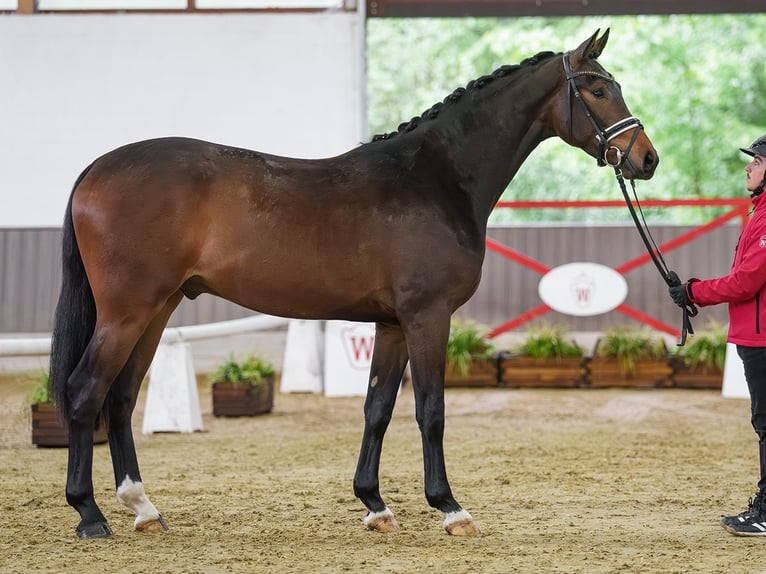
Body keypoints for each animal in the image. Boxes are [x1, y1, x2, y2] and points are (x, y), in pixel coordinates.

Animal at [50, 29, 657, 539]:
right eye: (598, 89)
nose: (645, 158)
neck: (435, 178)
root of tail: (95, 170)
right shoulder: (428, 317)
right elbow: (431, 409)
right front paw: (449, 508)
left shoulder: (391, 325)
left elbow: (378, 409)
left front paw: (375, 504)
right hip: (128, 311)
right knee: (85, 391)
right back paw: (90, 514)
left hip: (158, 308)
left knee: (120, 396)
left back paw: (143, 508)